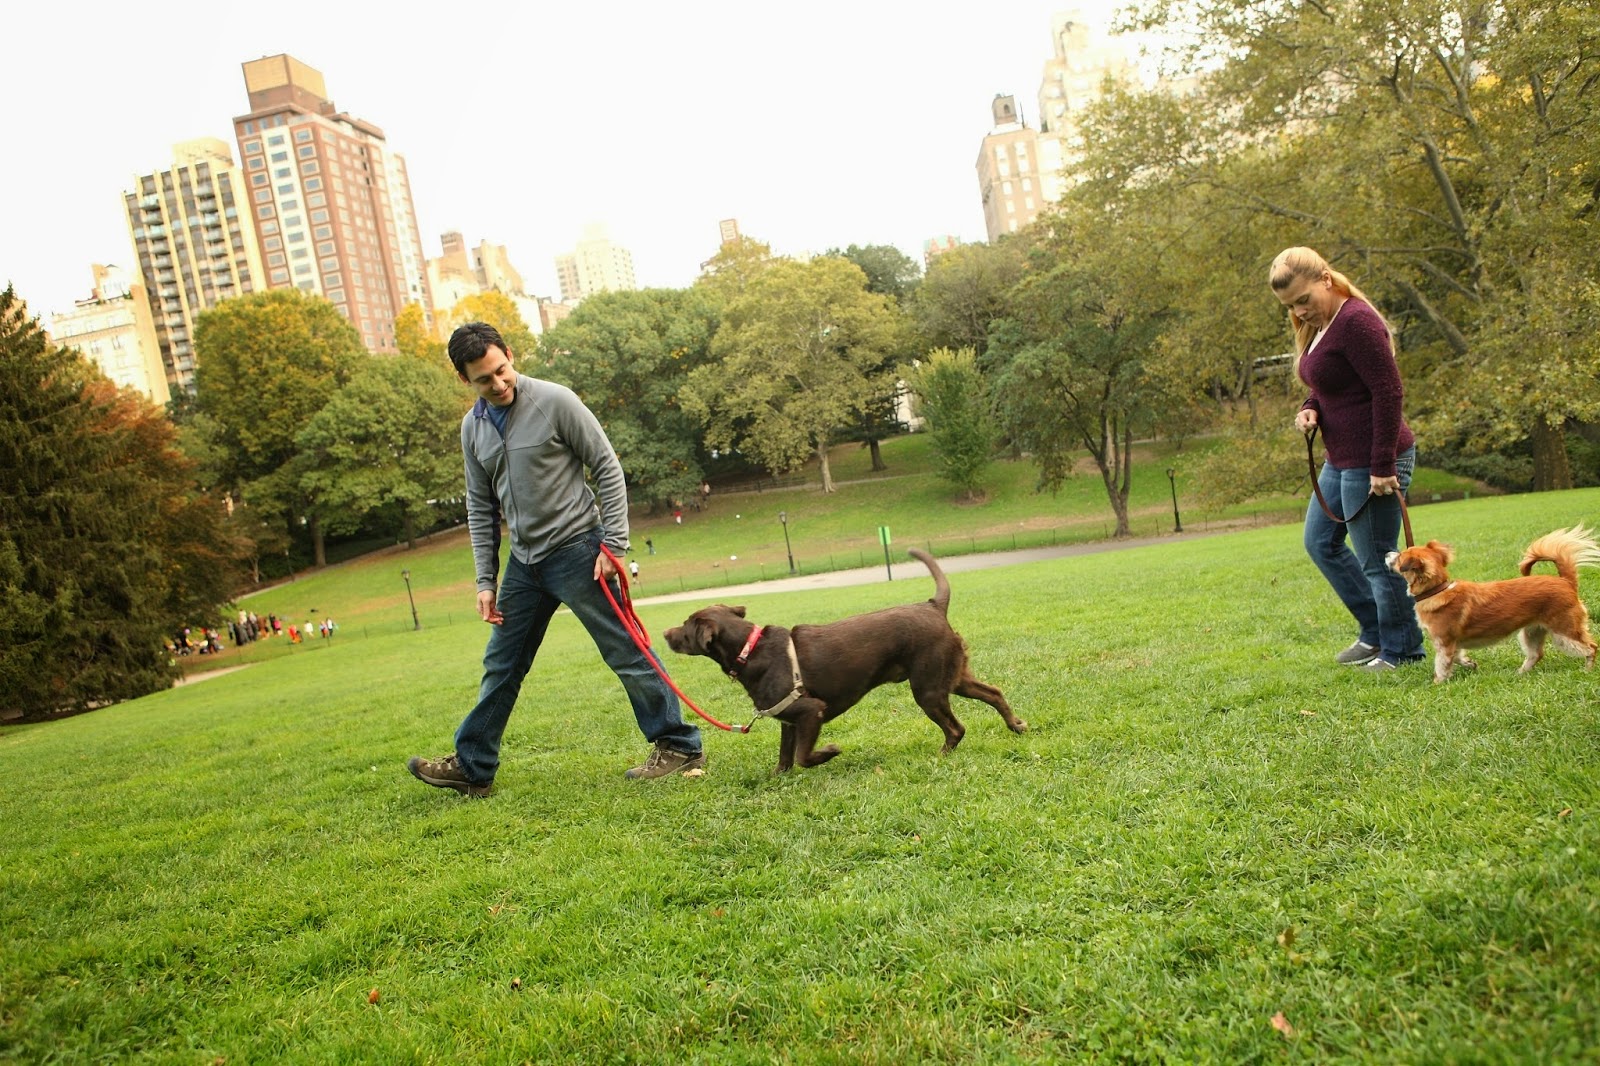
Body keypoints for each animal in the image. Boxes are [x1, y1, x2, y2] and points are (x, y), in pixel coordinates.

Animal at [1388, 521, 1600, 681]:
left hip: (1564, 631)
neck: (1436, 590)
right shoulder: (1453, 644)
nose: (1388, 553)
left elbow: (1442, 665)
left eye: (1399, 557)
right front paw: (1470, 664)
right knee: (1536, 654)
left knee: (1590, 647)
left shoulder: (1444, 643)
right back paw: (1519, 673)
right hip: (1532, 631)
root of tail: (1566, 581)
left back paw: (1587, 670)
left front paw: (1438, 683)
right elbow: (1458, 658)